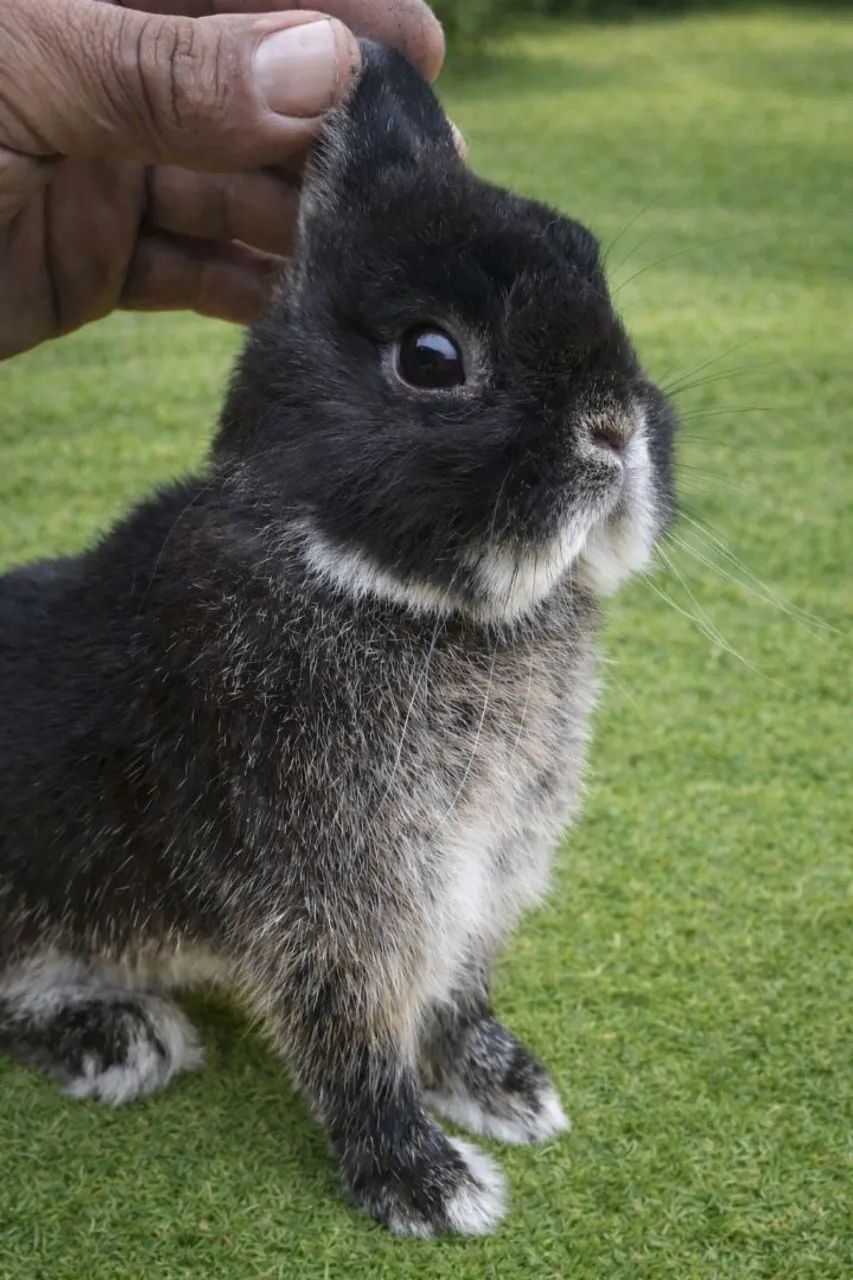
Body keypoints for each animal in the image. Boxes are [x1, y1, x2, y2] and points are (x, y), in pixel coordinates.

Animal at [0, 40, 676, 1236]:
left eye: (592, 277)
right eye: (431, 356)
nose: (615, 425)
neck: (404, 596)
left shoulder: (477, 874)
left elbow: (454, 992)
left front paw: (509, 1089)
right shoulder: (339, 898)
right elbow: (351, 1038)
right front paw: (428, 1185)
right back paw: (119, 1038)